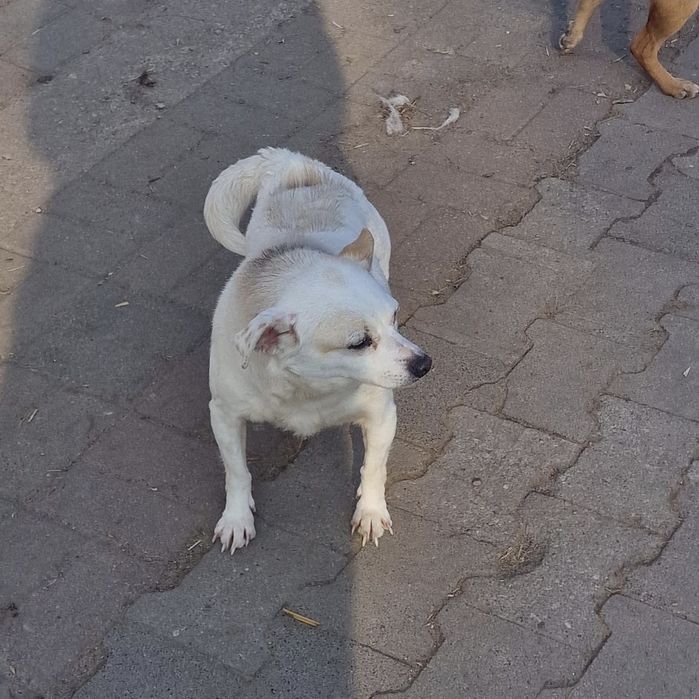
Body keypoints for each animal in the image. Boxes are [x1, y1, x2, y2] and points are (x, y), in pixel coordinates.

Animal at [203, 147, 433, 553]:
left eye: (394, 317)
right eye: (359, 342)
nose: (424, 363)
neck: (309, 390)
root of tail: (293, 162)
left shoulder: (382, 416)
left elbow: (374, 467)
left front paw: (371, 511)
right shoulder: (224, 415)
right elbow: (236, 470)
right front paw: (236, 518)